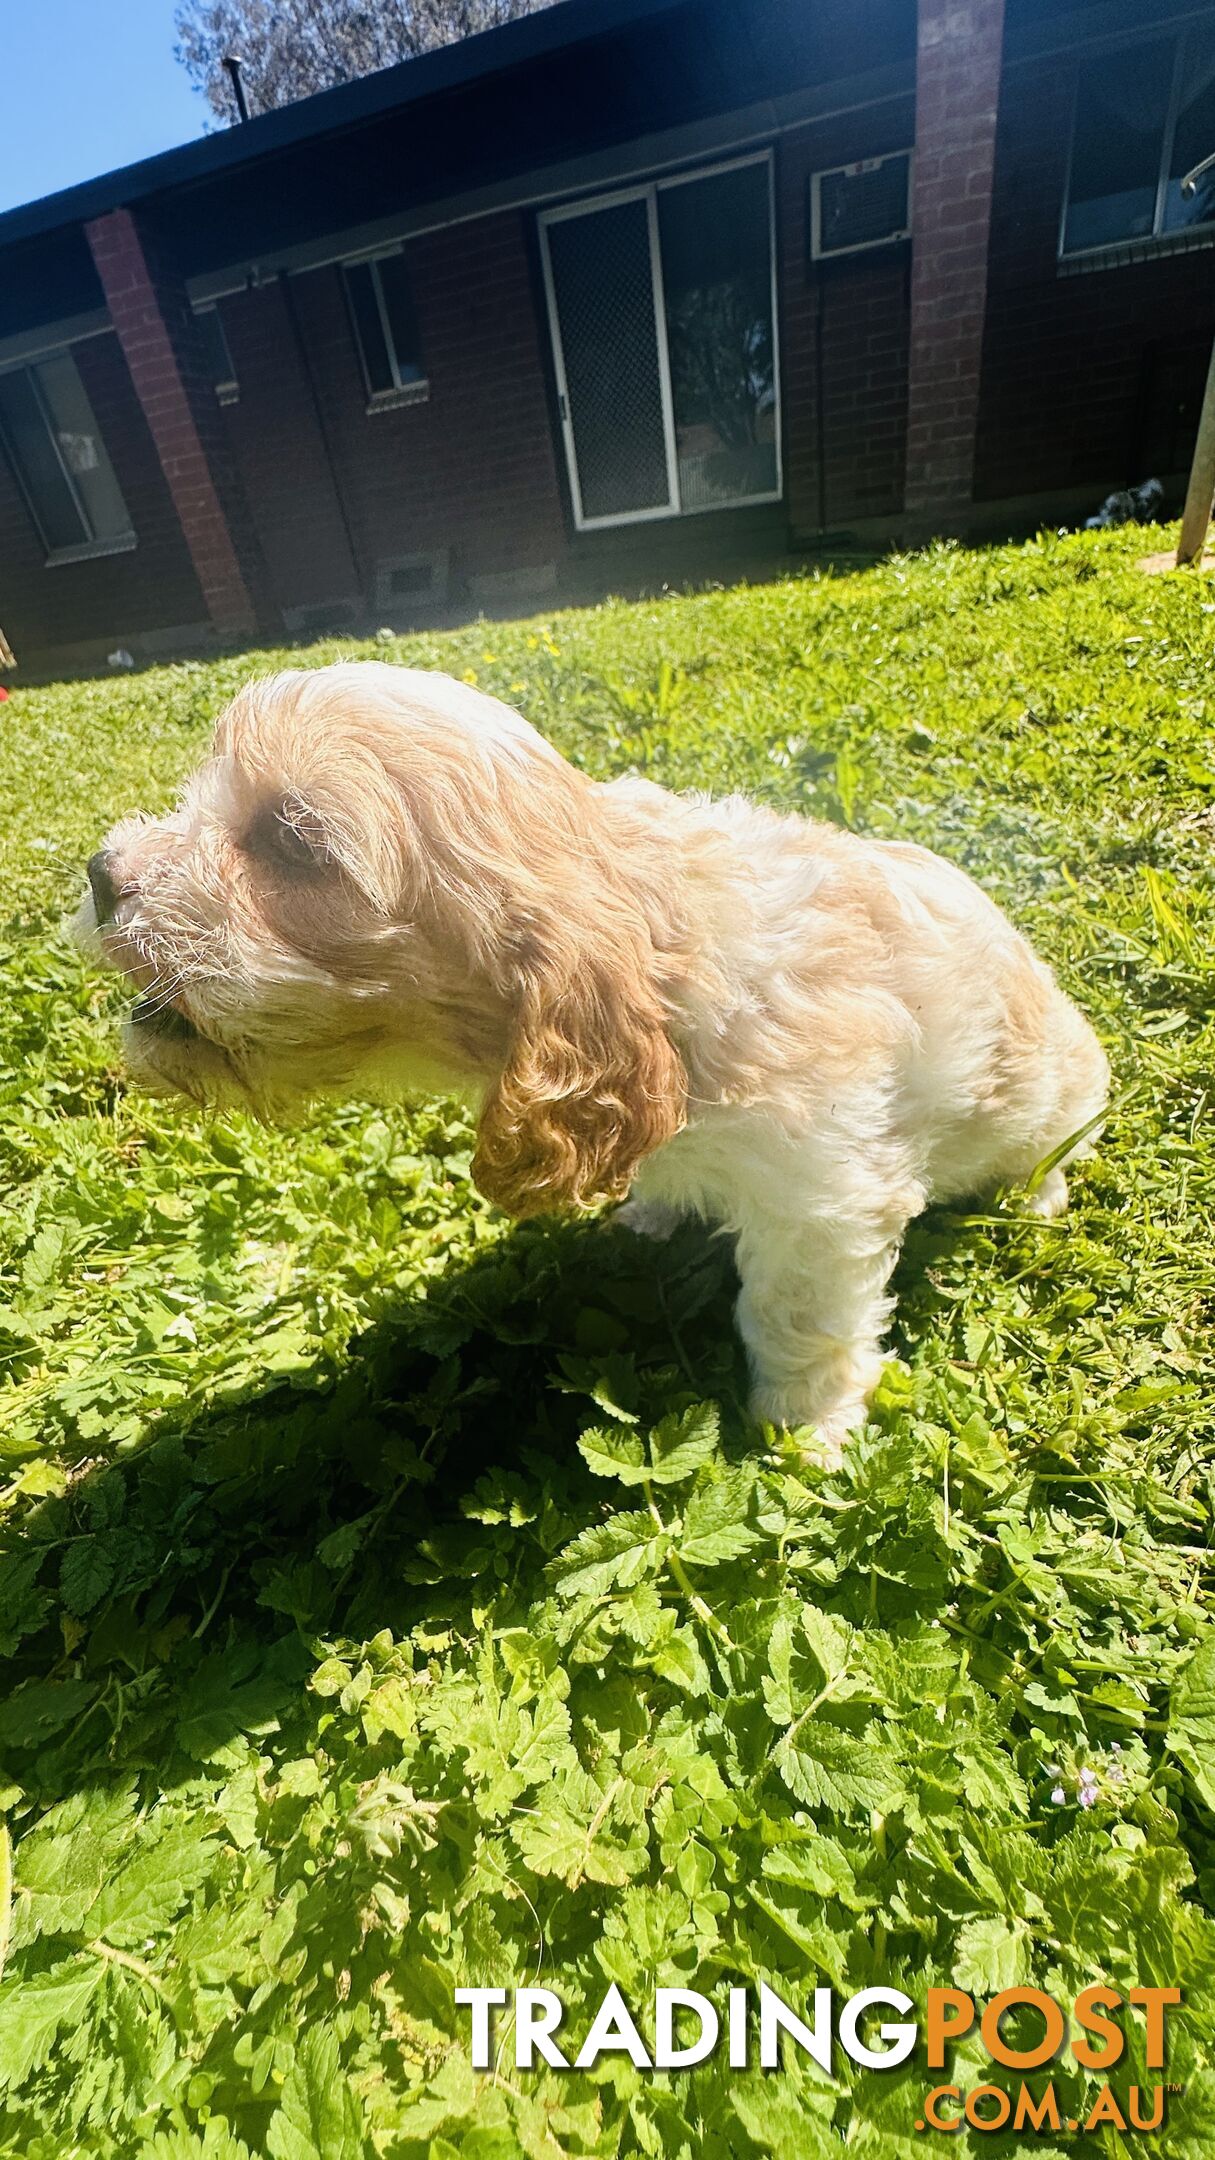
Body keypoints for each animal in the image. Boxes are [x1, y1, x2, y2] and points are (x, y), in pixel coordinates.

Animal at [70, 660, 1102, 1451]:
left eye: (290, 840)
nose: (101, 871)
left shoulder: (825, 1197)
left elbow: (796, 1317)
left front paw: (801, 1432)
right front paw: (648, 1207)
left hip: (1061, 1093)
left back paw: (1036, 1196)